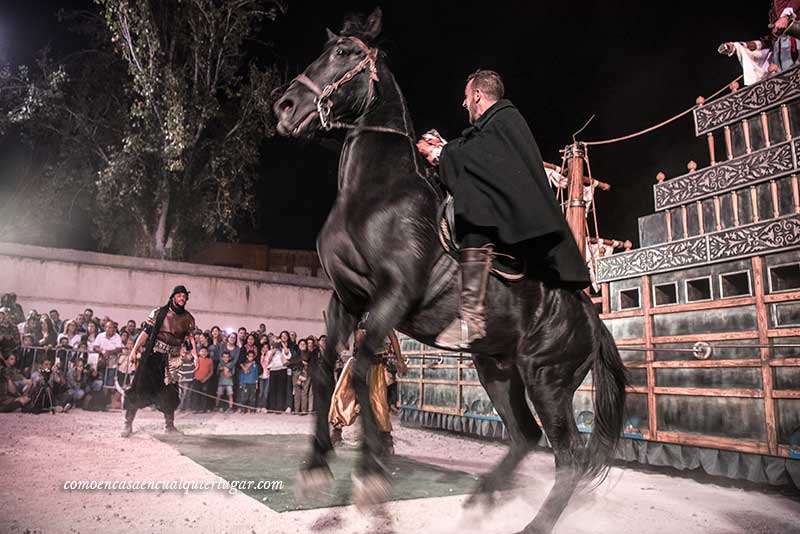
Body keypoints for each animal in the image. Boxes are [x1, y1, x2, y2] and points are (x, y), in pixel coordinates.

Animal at [272, 8, 628, 534]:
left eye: (345, 53)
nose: (285, 106)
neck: (375, 195)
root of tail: (592, 320)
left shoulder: (393, 296)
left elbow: (361, 367)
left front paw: (370, 473)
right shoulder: (346, 299)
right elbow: (324, 370)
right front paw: (316, 464)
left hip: (548, 380)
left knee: (569, 457)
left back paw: (534, 523)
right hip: (497, 370)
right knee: (524, 435)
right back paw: (483, 497)